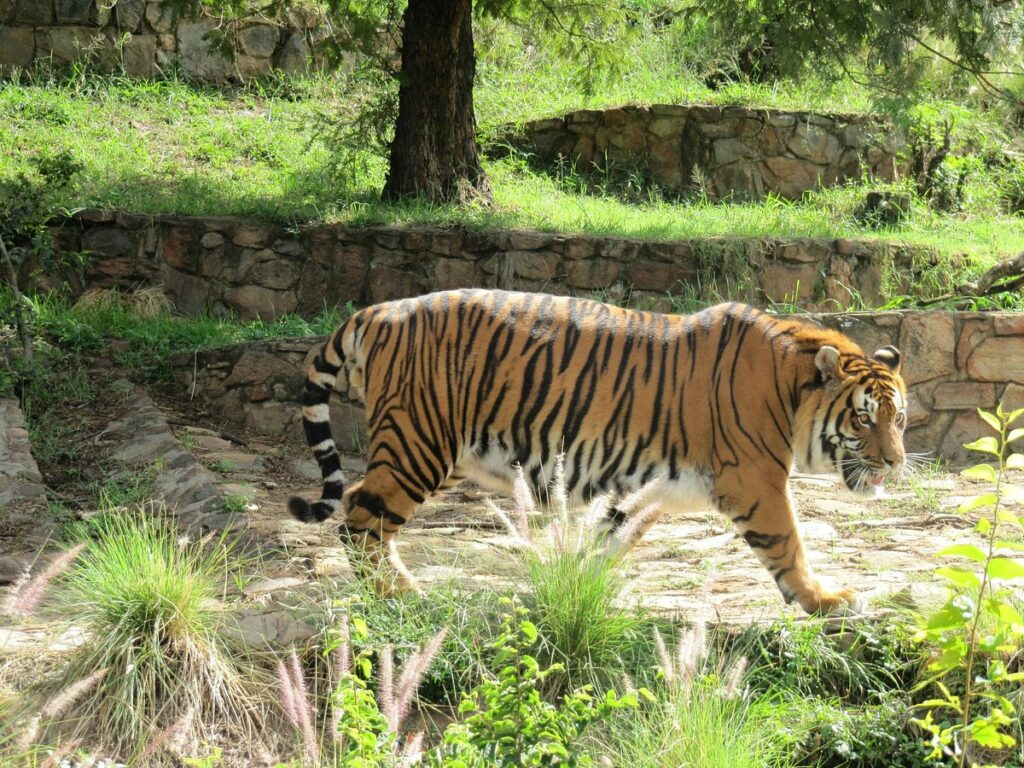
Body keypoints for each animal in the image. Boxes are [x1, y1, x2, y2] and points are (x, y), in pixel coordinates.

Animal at [286, 290, 905, 618]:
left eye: (898, 417)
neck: (791, 390)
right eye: (863, 418)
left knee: (359, 508)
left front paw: (581, 594)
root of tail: (379, 310)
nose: (897, 462)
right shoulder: (756, 481)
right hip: (418, 444)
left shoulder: (642, 488)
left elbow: (608, 545)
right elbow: (789, 543)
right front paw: (825, 599)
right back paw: (400, 597)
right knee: (360, 515)